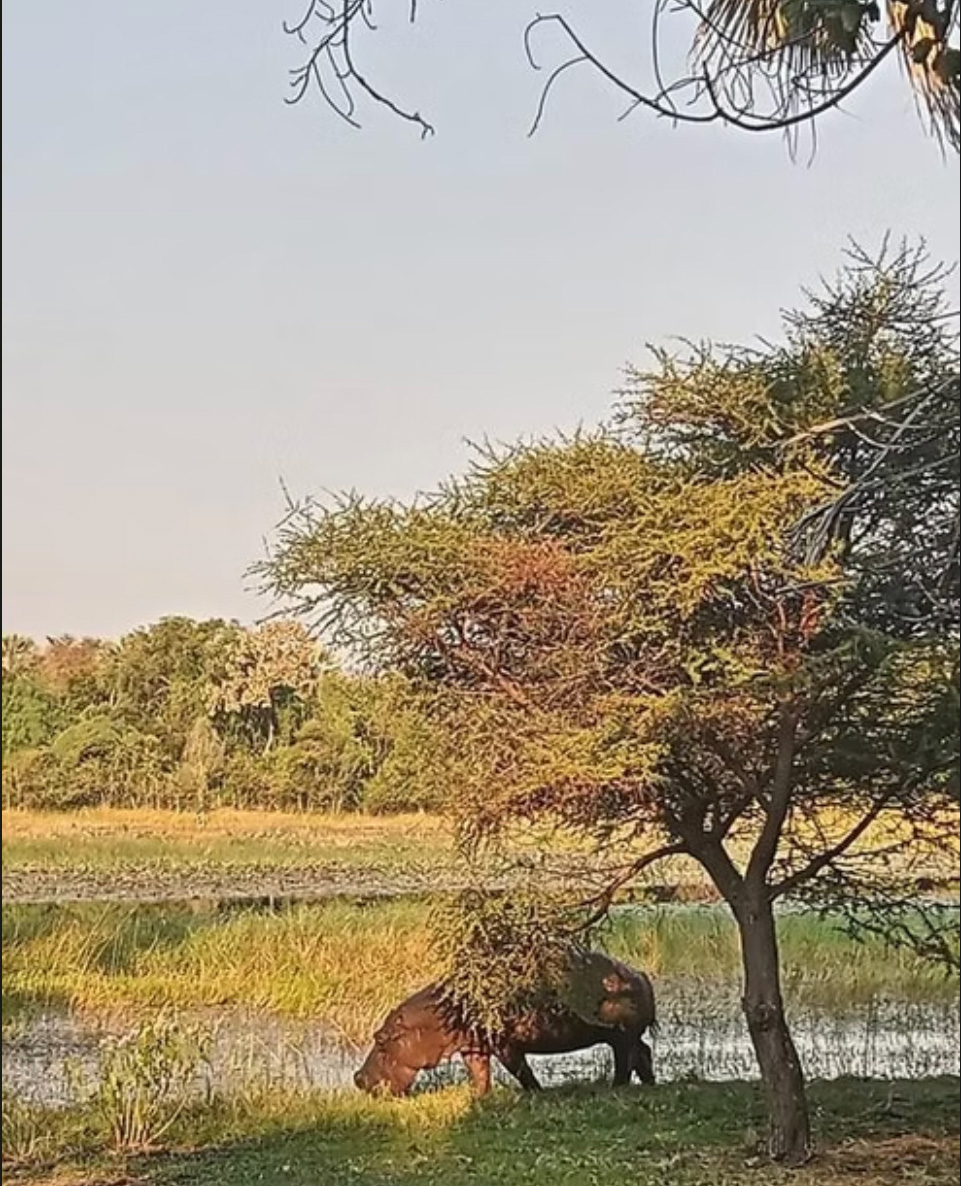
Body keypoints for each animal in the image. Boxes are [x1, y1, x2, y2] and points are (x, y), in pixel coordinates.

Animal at [354, 953, 656, 1096]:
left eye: (380, 1038)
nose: (357, 1078)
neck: (438, 1015)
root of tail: (639, 973)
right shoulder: (473, 1047)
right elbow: (479, 1073)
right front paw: (480, 1097)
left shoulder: (505, 1045)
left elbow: (521, 1071)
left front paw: (536, 1093)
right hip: (626, 1037)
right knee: (644, 1053)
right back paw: (648, 1085)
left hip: (621, 1037)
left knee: (626, 1061)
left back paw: (617, 1088)